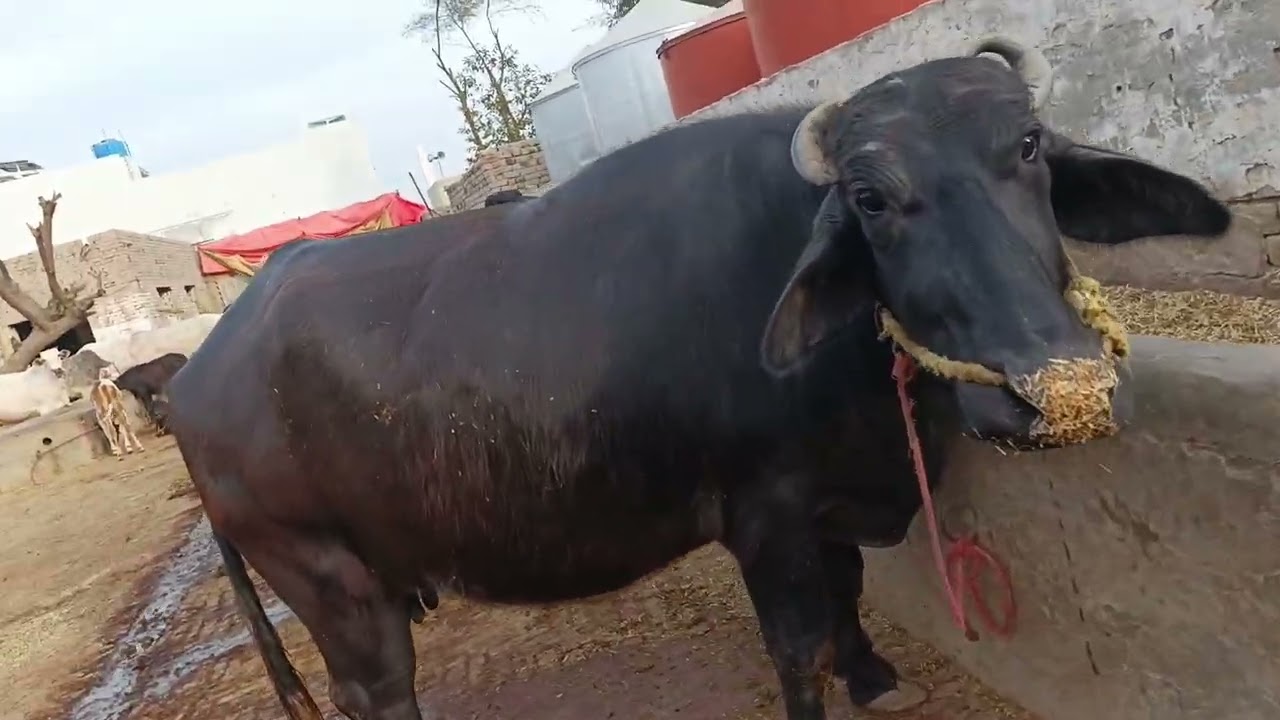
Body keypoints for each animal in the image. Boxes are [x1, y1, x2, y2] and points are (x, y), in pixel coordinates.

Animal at [167, 38, 1230, 720]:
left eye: (1028, 149)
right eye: (871, 199)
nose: (1046, 384)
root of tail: (195, 379)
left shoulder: (827, 507)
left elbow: (848, 596)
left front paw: (876, 674)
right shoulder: (762, 515)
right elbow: (799, 648)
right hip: (327, 580)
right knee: (377, 693)